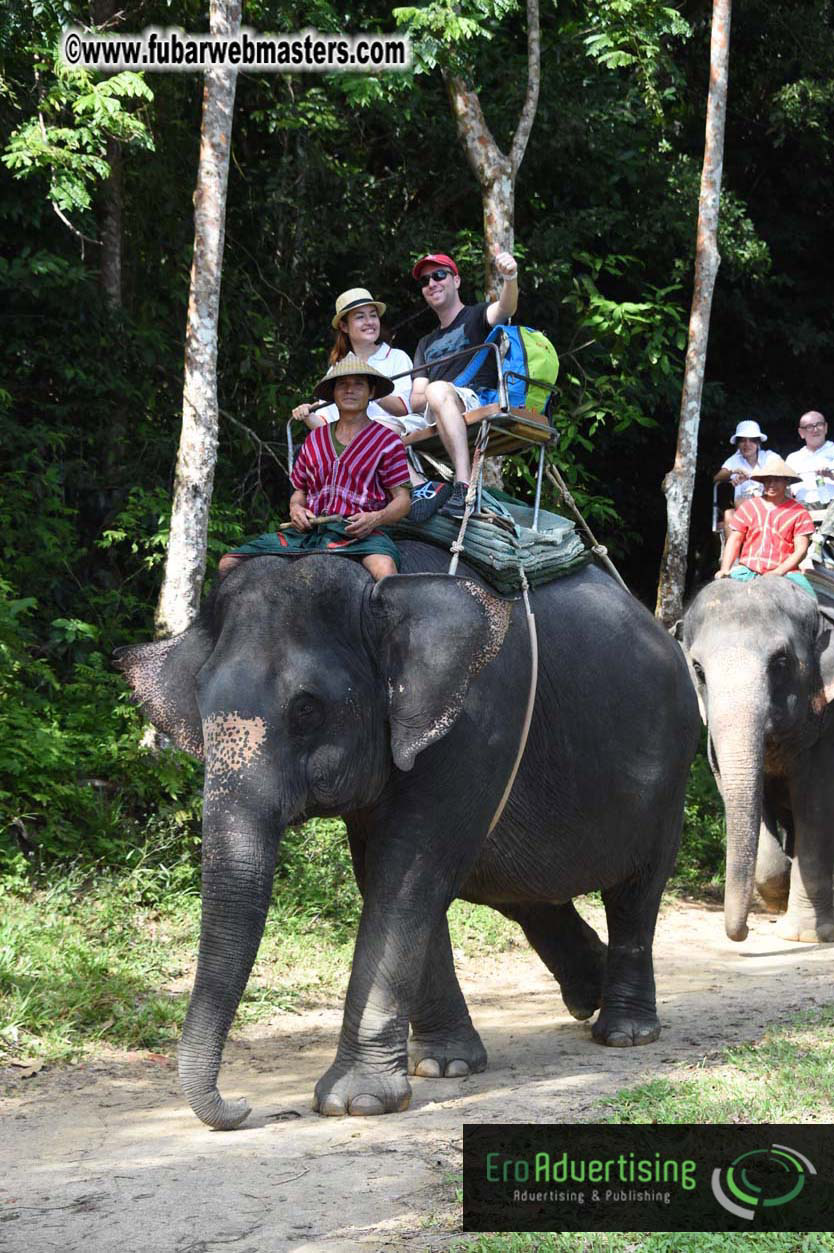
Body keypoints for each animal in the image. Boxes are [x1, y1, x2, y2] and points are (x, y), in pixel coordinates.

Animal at [117, 541, 699, 1130]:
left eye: (306, 709)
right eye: (200, 704)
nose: (241, 1106)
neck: (377, 593)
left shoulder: (476, 723)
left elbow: (407, 875)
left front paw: (357, 1102)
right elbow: (388, 874)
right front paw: (444, 1067)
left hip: (670, 773)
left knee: (634, 894)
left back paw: (624, 1033)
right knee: (525, 894)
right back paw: (588, 995)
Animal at [680, 576, 834, 943]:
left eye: (780, 662)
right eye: (698, 669)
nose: (746, 931)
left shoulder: (828, 723)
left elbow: (816, 804)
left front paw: (804, 936)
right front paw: (778, 895)